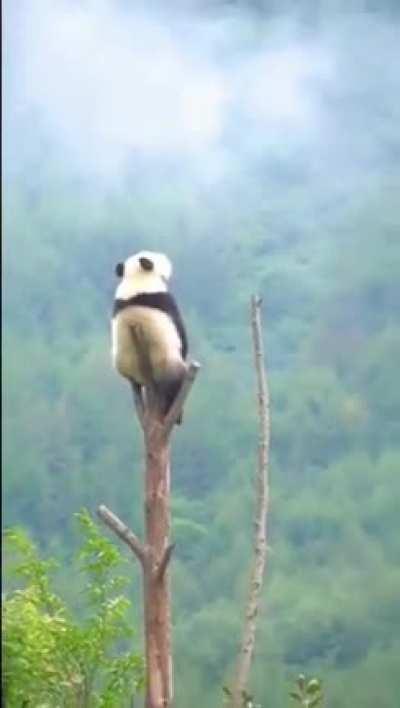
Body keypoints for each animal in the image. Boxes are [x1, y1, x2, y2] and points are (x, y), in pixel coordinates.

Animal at [111, 250, 188, 423]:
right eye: (157, 256)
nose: (166, 257)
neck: (135, 279)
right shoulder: (164, 300)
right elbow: (180, 332)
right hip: (166, 360)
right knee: (175, 384)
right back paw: (176, 413)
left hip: (125, 363)